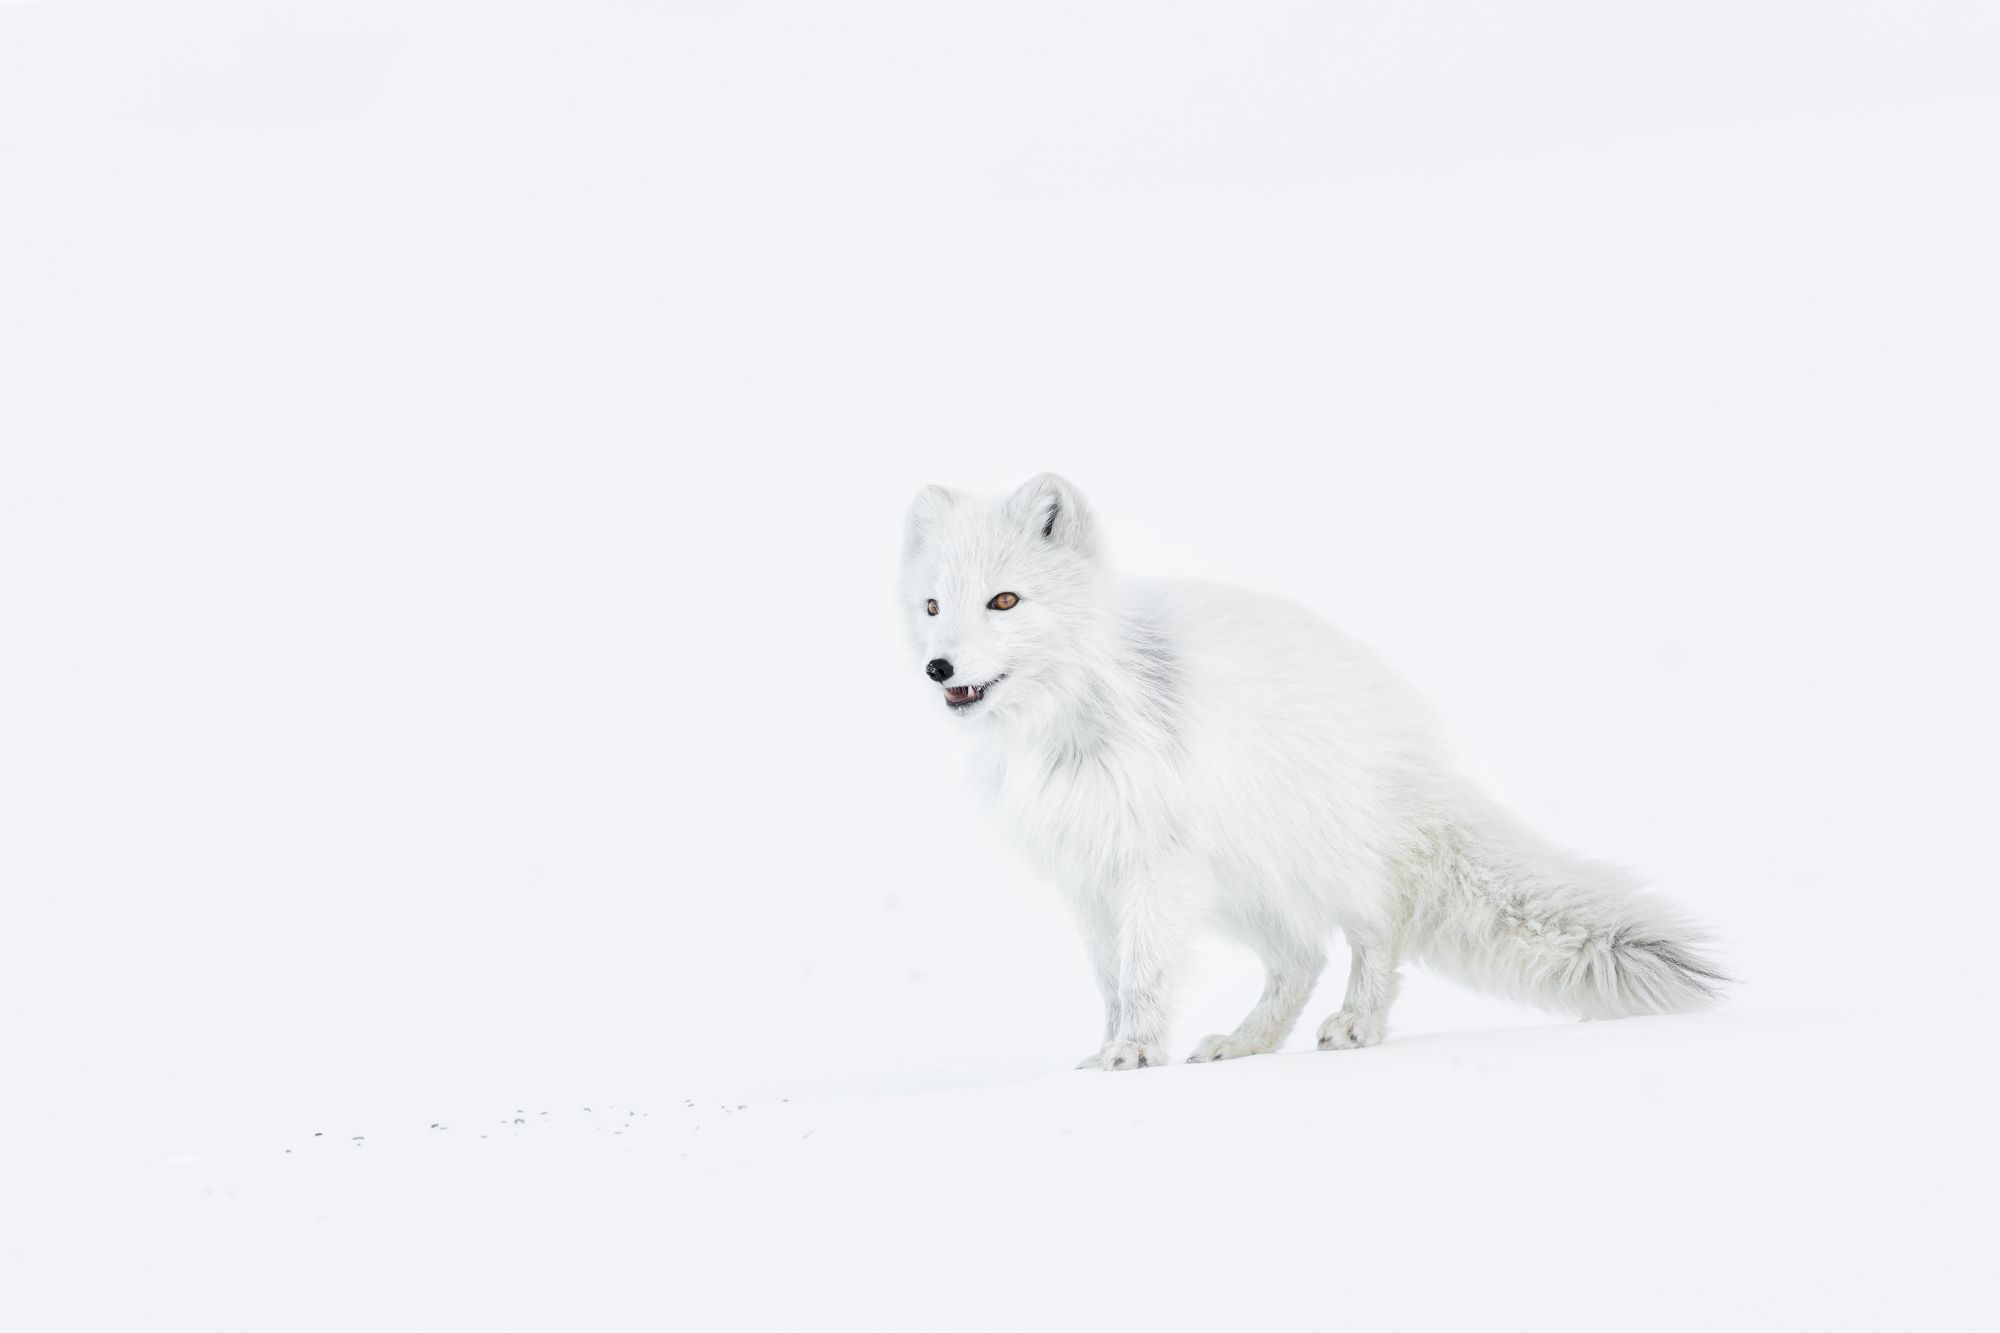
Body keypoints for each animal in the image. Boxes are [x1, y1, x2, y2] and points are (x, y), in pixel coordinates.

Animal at [900, 473, 1730, 1070]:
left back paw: (1359, 1022)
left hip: (1312, 865)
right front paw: (1110, 1049)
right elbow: (1113, 981)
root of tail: (1411, 735)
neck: (1066, 723)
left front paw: (1131, 1053)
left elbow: (1143, 977)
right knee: (1302, 959)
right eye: (933, 606)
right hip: (1241, 886)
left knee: (1376, 932)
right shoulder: (1088, 876)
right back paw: (1245, 1043)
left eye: (1005, 600)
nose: (938, 667)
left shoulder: (1152, 866)